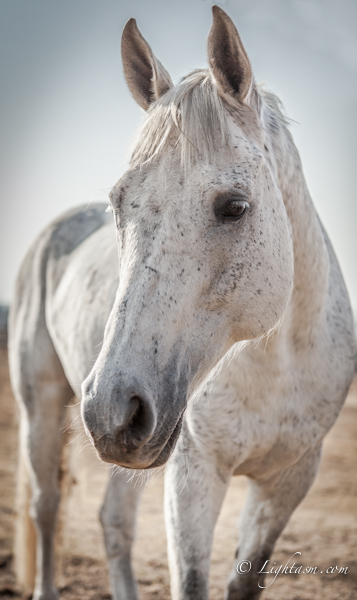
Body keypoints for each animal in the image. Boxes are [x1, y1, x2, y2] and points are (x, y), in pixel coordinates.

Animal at [7, 5, 354, 600]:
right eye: (117, 204)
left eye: (234, 207)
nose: (112, 408)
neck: (276, 367)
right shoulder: (194, 476)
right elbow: (190, 582)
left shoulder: (288, 481)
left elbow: (244, 583)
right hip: (43, 406)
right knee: (46, 507)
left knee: (113, 520)